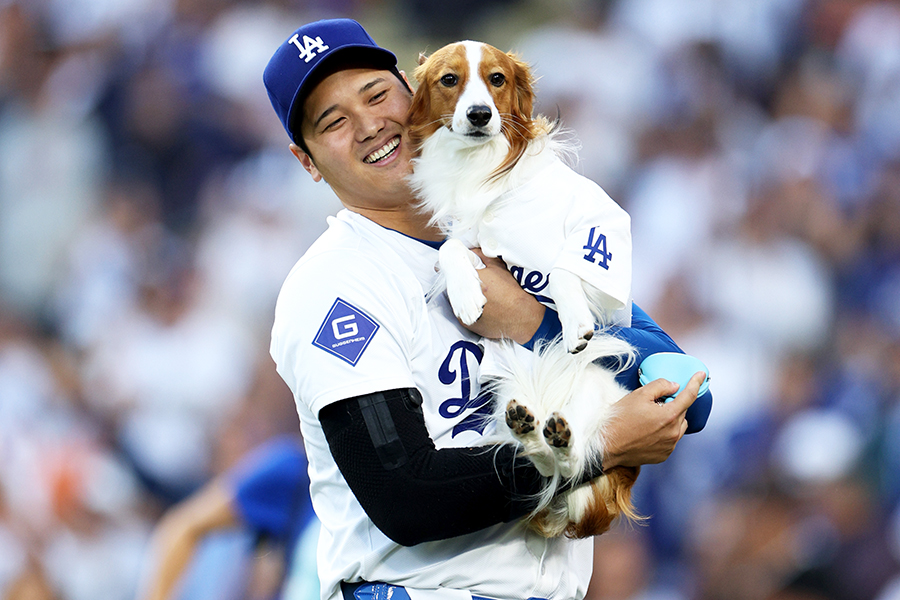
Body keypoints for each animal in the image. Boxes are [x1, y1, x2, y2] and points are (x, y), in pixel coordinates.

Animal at [404, 42, 644, 540]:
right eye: (449, 79)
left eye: (496, 78)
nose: (479, 114)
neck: (481, 169)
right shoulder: (467, 234)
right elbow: (452, 247)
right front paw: (466, 294)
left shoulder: (599, 232)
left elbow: (563, 269)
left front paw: (576, 324)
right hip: (506, 398)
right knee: (539, 461)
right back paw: (532, 431)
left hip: (597, 397)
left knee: (573, 460)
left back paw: (558, 437)